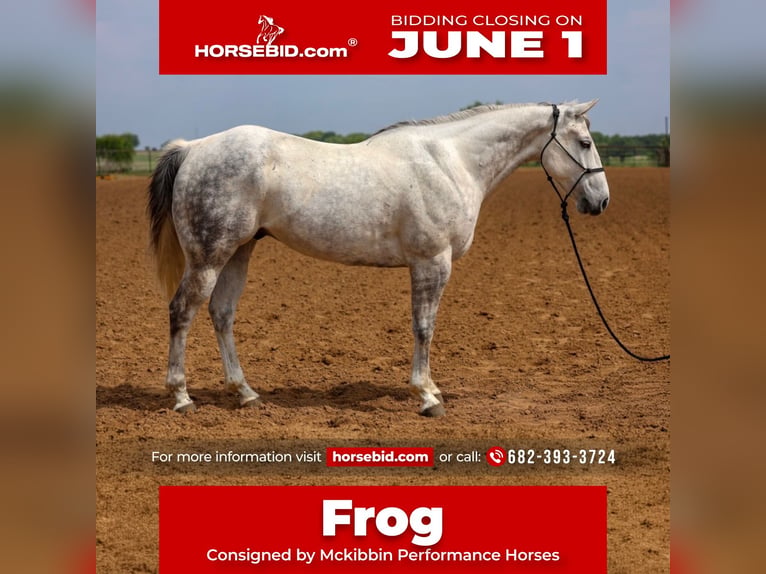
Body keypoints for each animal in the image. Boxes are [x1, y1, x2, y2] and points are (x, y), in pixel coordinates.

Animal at [147, 100, 609, 416]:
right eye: (585, 142)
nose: (600, 201)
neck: (450, 162)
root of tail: (193, 149)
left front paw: (430, 389)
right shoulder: (432, 262)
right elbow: (424, 327)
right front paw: (427, 396)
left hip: (239, 251)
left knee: (221, 313)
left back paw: (245, 393)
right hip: (209, 256)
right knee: (181, 311)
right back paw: (182, 397)